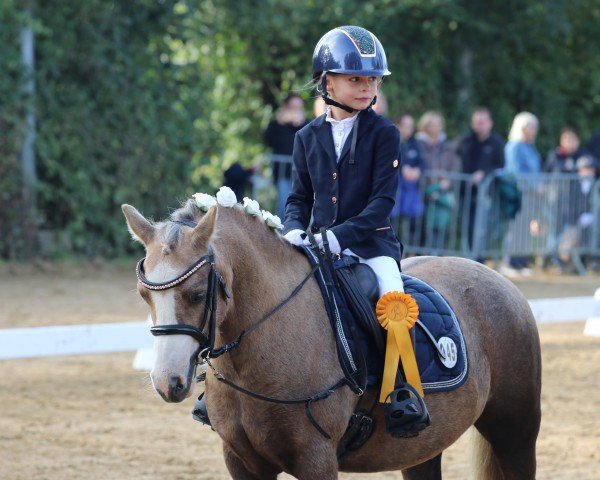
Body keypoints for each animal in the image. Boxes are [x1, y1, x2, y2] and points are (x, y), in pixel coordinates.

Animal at [120, 201, 540, 478]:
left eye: (194, 294)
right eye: (143, 295)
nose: (167, 382)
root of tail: (498, 280)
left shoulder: (316, 459)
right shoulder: (242, 461)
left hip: (515, 432)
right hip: (423, 447)